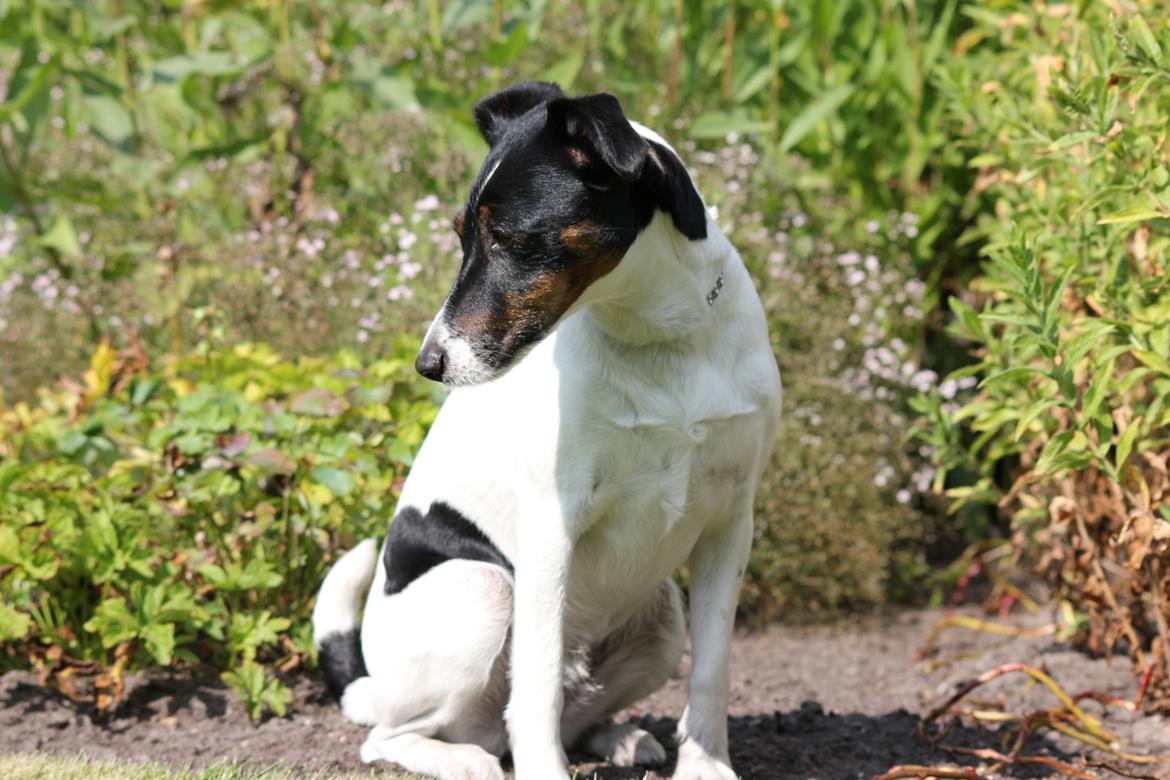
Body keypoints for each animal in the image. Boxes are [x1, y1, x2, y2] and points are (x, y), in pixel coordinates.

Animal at [315, 80, 781, 780]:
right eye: (462, 236)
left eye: (507, 237)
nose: (429, 364)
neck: (659, 341)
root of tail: (373, 684)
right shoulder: (550, 529)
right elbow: (533, 689)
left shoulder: (731, 522)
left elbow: (713, 671)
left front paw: (704, 764)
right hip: (483, 590)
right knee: (400, 735)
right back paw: (464, 760)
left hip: (663, 615)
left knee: (568, 712)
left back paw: (619, 738)